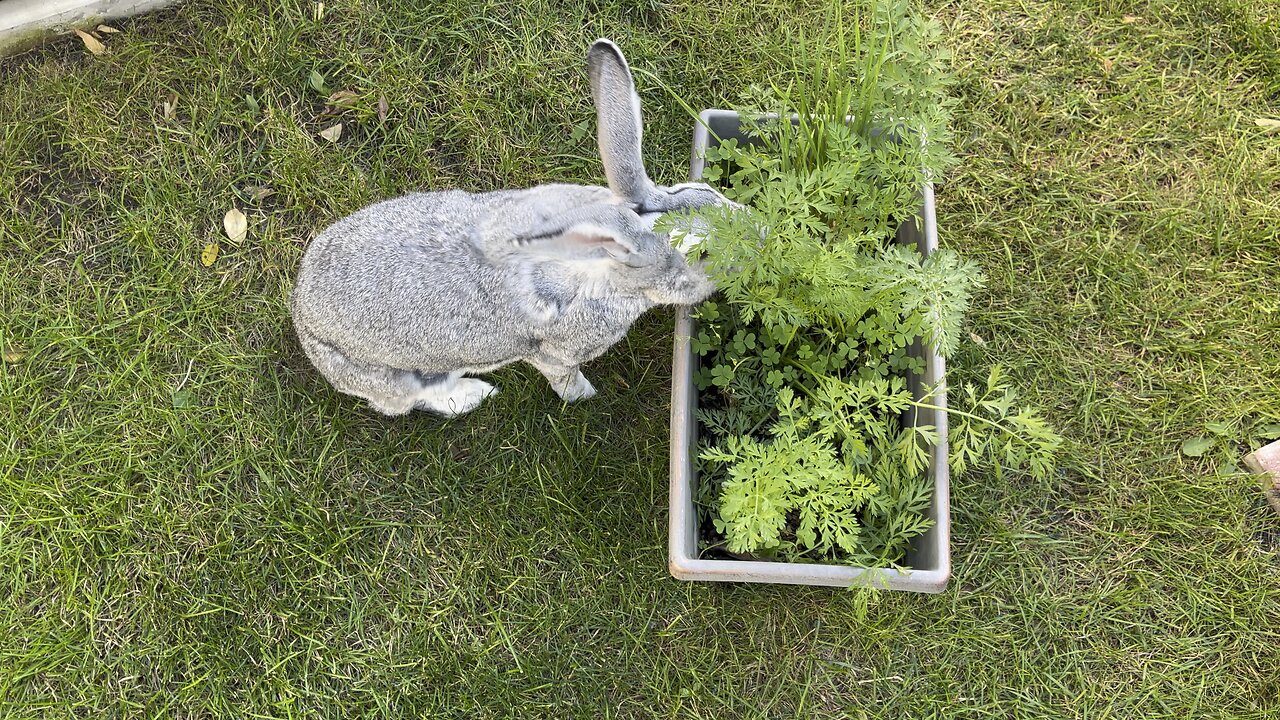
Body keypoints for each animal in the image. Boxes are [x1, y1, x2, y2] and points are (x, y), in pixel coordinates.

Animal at [286, 39, 737, 415]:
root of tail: (301, 315)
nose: (755, 235)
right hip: (401, 375)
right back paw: (473, 395)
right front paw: (585, 397)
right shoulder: (556, 352)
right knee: (403, 403)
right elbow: (564, 377)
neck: (601, 265)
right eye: (701, 254)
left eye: (705, 192)